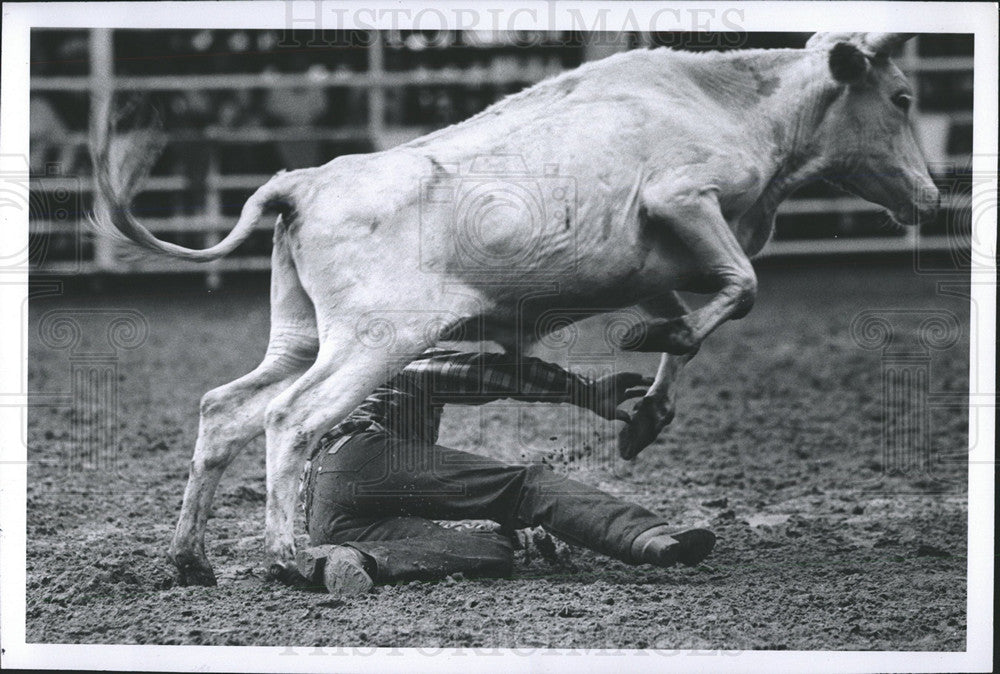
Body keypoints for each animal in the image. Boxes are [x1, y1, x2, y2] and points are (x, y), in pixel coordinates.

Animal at [92, 30, 936, 584]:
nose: (929, 196)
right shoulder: (683, 199)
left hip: (301, 338)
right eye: (901, 97)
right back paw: (294, 556)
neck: (733, 107)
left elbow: (684, 331)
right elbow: (740, 290)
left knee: (223, 411)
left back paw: (190, 558)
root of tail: (300, 181)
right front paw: (651, 352)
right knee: (289, 419)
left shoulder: (654, 261)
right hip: (373, 343)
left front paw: (642, 411)